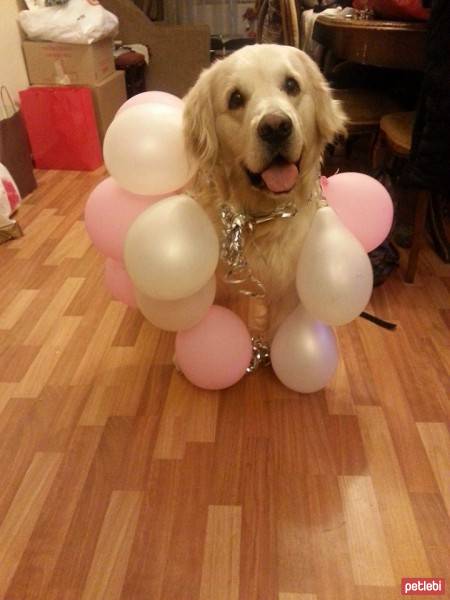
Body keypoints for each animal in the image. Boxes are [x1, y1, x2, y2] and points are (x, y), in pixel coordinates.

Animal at [183, 44, 344, 340]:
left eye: (291, 85)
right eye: (235, 98)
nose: (275, 127)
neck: (261, 218)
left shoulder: (288, 294)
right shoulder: (225, 290)